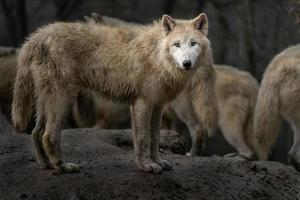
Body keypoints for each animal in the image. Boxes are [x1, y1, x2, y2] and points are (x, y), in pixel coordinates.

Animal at [11, 14, 213, 173]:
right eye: (177, 45)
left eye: (193, 43)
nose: (186, 63)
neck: (158, 56)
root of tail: (36, 36)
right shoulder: (142, 103)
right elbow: (142, 139)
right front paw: (146, 167)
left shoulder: (158, 106)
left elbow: (155, 138)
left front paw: (158, 162)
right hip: (63, 100)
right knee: (48, 135)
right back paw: (62, 166)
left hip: (46, 102)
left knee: (36, 133)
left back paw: (46, 165)